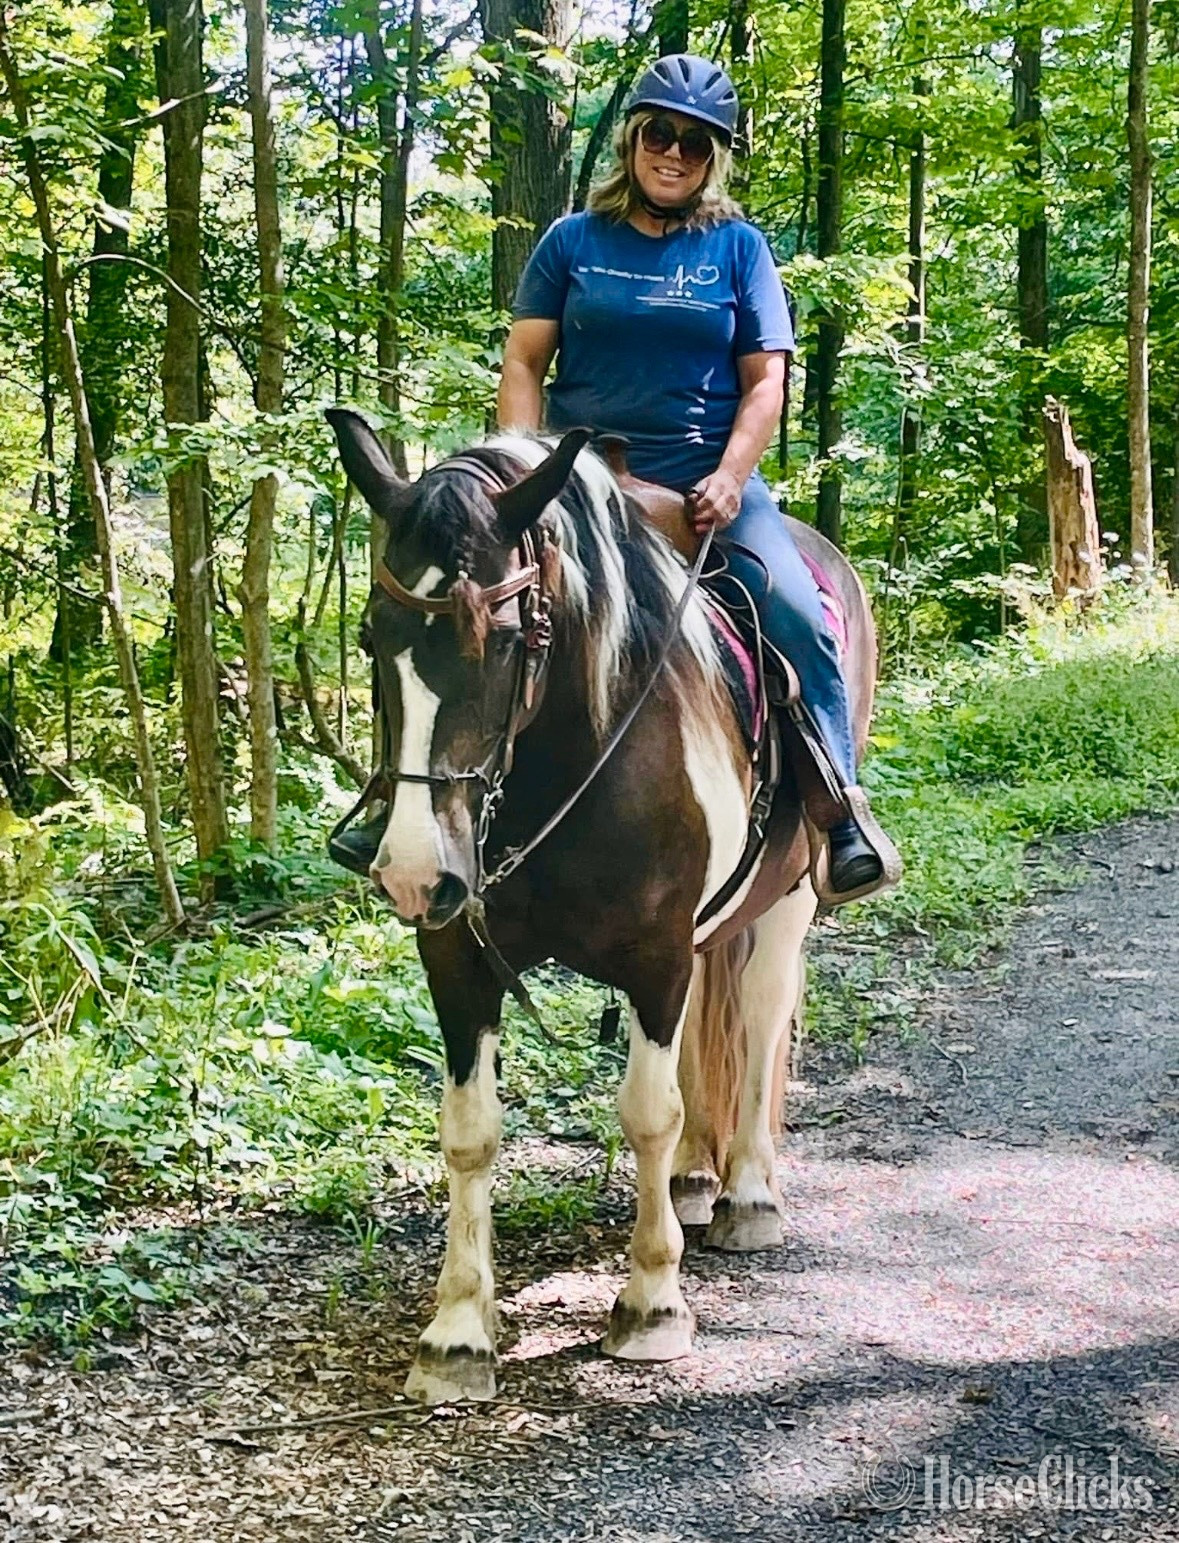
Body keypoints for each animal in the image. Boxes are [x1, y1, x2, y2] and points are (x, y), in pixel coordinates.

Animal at [325, 409, 879, 1405]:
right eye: (370, 636)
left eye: (507, 637)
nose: (415, 870)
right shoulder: (457, 956)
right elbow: (469, 1130)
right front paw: (456, 1331)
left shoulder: (655, 953)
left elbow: (646, 1110)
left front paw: (651, 1303)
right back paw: (693, 1180)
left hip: (785, 898)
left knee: (760, 1018)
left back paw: (745, 1194)